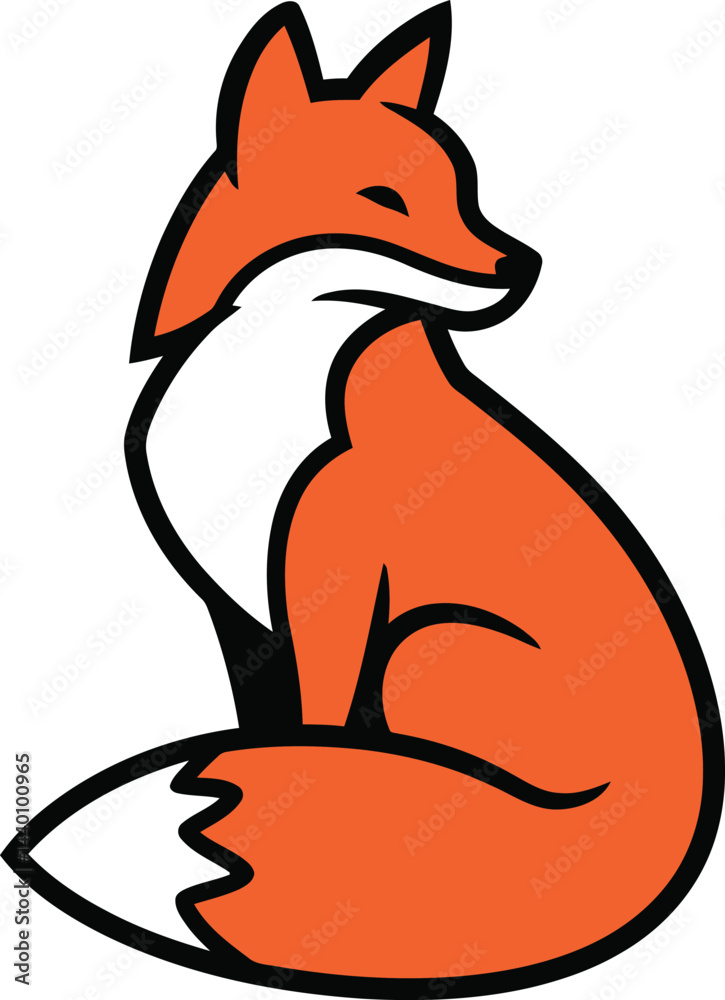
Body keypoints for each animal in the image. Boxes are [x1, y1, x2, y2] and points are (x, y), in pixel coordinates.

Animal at [114, 0, 720, 993]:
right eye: (384, 198)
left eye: (459, 187)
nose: (522, 267)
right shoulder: (236, 611)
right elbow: (269, 725)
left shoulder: (330, 578)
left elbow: (317, 729)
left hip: (423, 644)